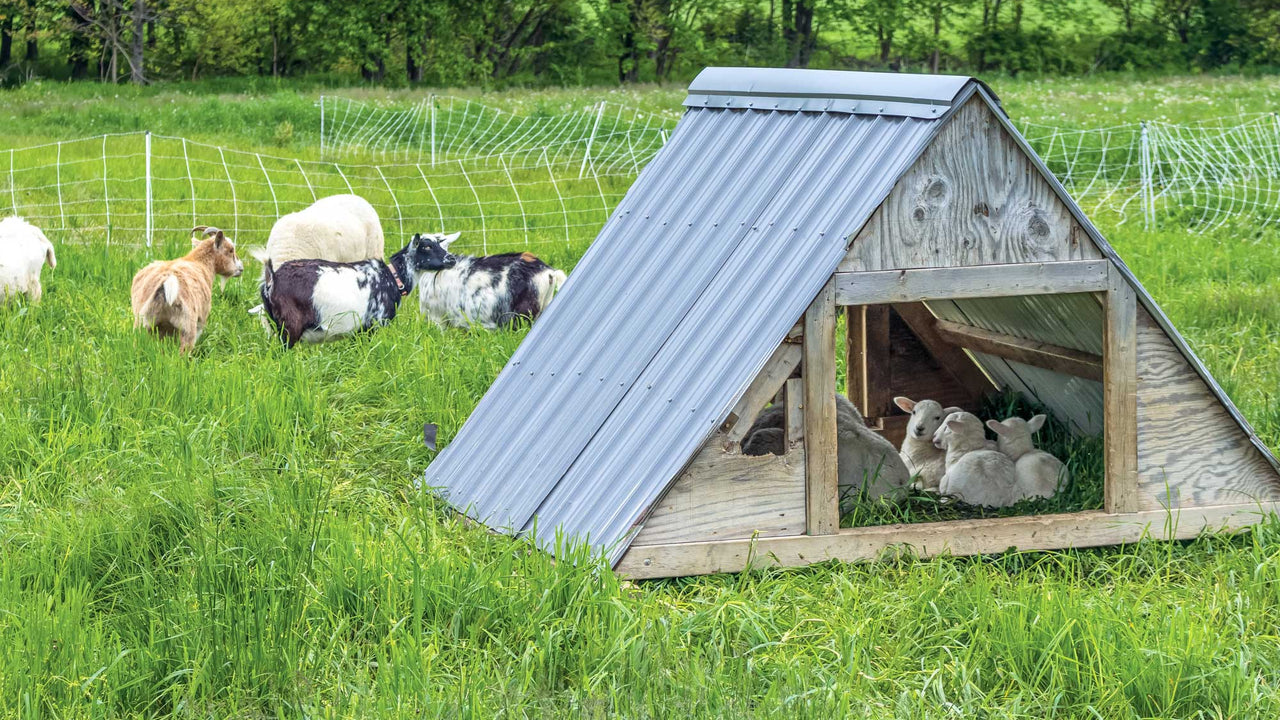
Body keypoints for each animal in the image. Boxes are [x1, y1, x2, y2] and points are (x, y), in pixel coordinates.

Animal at [259, 229, 460, 340]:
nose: (451, 259)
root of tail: (272, 280)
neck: (393, 278)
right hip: (289, 326)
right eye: (426, 246)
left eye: (441, 244)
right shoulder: (372, 325)